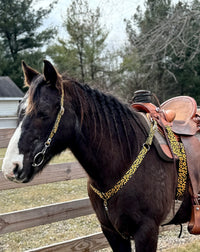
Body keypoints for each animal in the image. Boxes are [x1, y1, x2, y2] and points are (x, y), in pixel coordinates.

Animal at [2, 60, 191, 251]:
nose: (11, 168)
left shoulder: (147, 232)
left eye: (43, 113)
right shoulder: (112, 232)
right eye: (18, 112)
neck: (123, 160)